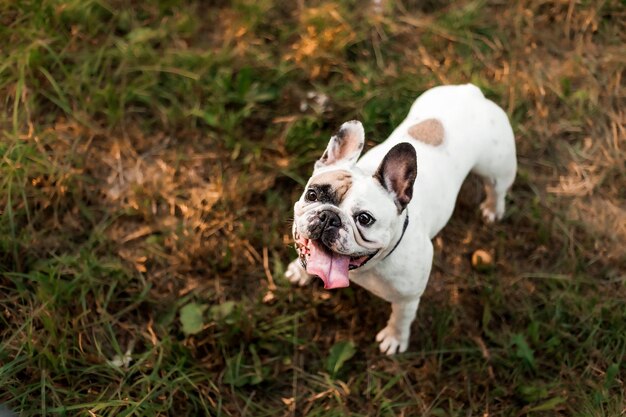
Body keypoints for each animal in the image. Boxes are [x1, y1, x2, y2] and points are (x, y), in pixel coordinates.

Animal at [286, 83, 516, 354]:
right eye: (312, 194)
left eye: (364, 219)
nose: (329, 217)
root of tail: (470, 92)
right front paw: (299, 271)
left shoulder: (408, 297)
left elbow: (401, 318)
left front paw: (394, 339)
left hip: (498, 168)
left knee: (497, 189)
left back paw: (492, 209)